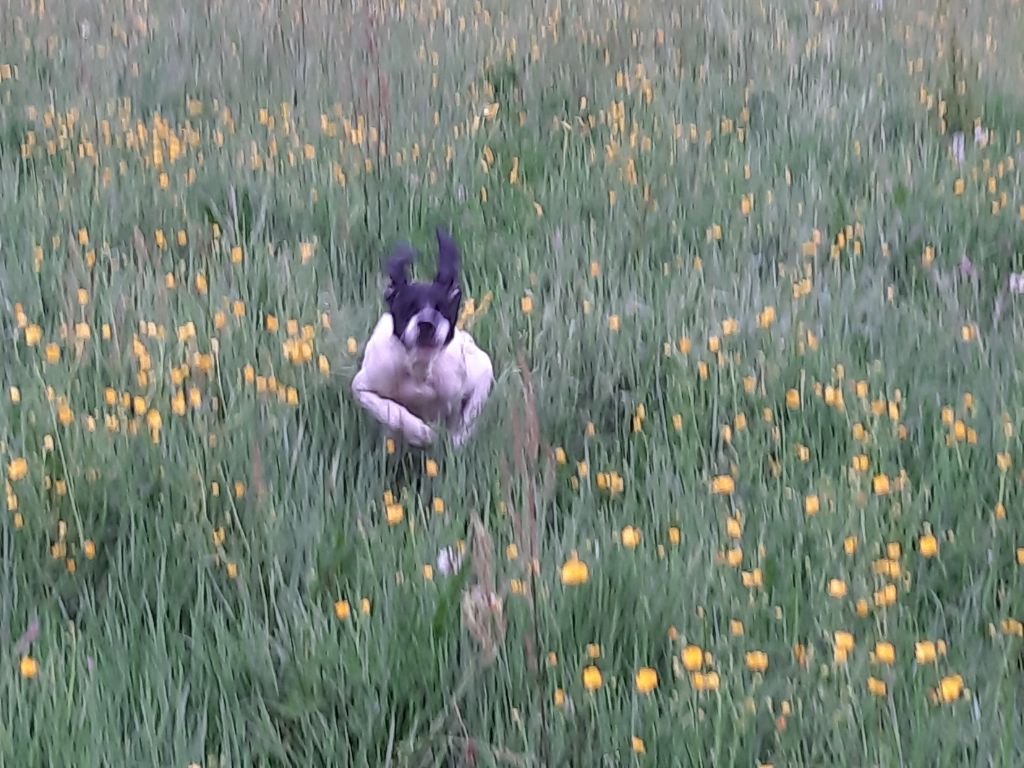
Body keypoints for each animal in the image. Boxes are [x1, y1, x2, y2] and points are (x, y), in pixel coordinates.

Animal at [352, 227, 495, 450]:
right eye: (408, 307)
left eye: (441, 307)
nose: (427, 323)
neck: (419, 367)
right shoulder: (363, 388)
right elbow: (390, 410)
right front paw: (420, 431)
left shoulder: (480, 374)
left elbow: (467, 417)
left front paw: (457, 441)